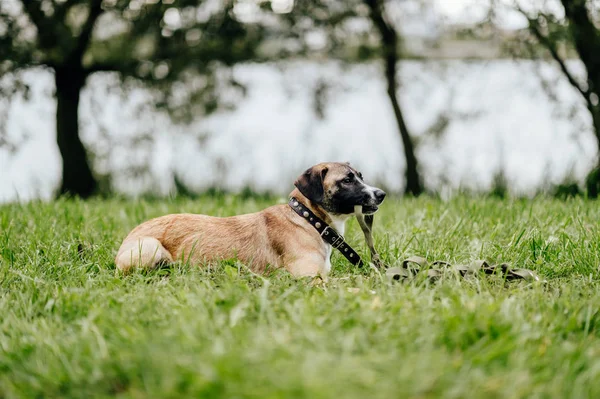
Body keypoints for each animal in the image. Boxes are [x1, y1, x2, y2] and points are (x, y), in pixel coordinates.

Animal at [116, 162, 390, 278]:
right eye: (347, 180)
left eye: (360, 176)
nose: (381, 194)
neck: (309, 219)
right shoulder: (310, 279)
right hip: (151, 248)